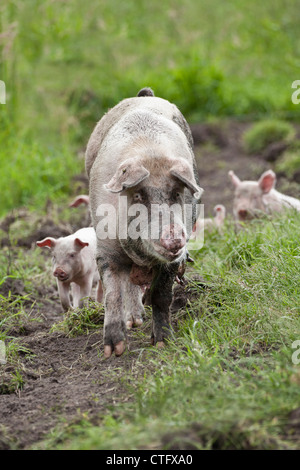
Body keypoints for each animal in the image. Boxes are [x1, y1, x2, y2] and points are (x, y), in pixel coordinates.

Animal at [85, 88, 202, 358]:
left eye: (176, 194)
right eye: (138, 196)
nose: (173, 236)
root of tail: (145, 95)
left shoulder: (174, 260)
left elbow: (161, 295)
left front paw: (163, 343)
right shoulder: (105, 248)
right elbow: (112, 295)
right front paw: (114, 351)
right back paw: (134, 321)